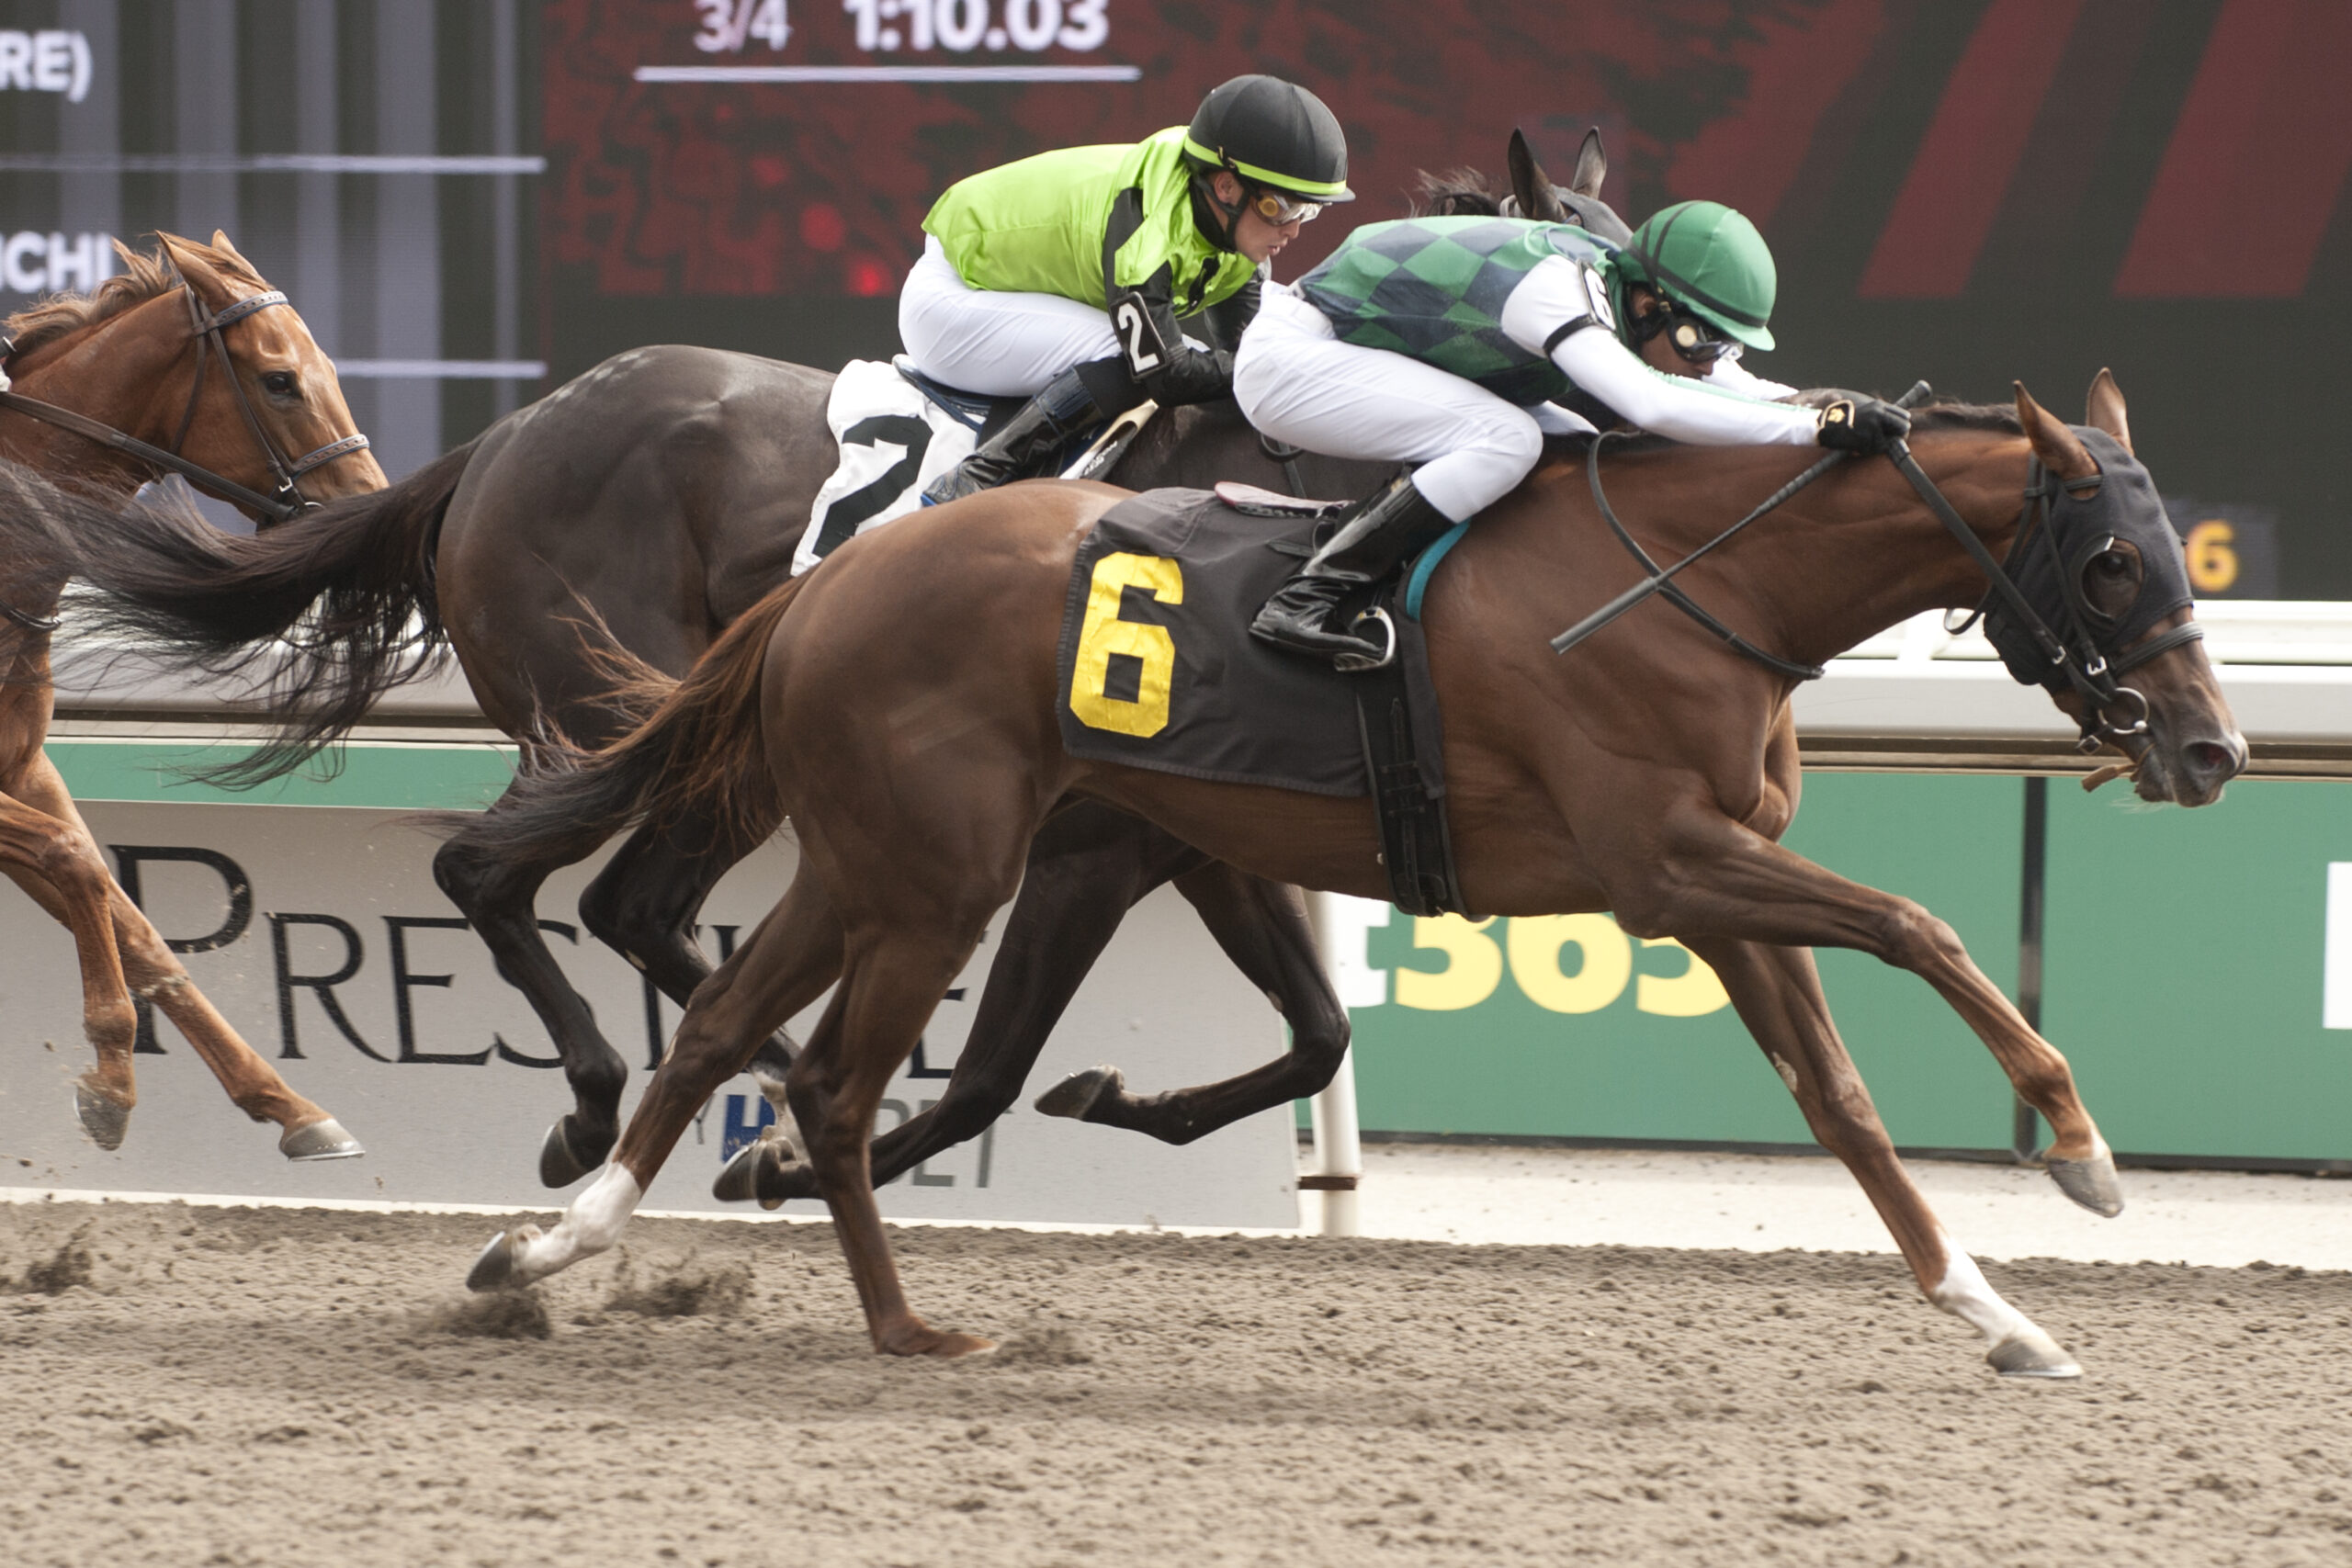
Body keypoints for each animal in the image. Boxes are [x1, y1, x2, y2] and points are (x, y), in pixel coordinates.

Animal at [0, 231, 381, 1159]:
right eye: (280, 379)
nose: (372, 512)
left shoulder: (25, 769)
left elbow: (130, 919)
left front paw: (291, 1106)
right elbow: (76, 864)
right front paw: (111, 1080)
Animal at [61, 135, 1626, 1193]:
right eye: (1621, 302)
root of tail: (502, 439)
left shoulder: (1191, 827)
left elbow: (1316, 1036)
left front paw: (1101, 1096)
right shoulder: (1100, 829)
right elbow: (1038, 1051)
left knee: (631, 906)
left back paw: (737, 1087)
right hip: (623, 715)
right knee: (502, 877)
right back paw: (602, 1106)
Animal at [459, 376, 2246, 1377]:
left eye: (2180, 551)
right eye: (2109, 559)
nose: (2213, 747)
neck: (1702, 581)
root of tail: (834, 575)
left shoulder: (1723, 885)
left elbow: (1847, 1102)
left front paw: (2001, 1314)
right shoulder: (1670, 867)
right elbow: (1921, 924)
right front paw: (2083, 1152)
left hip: (872, 863)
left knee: (728, 1032)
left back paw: (549, 1251)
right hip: (935, 876)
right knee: (821, 1077)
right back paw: (883, 1316)